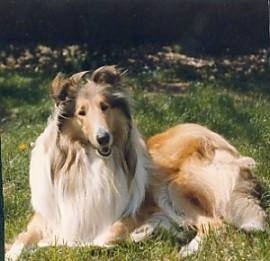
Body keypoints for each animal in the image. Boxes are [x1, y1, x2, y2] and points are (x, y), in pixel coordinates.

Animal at [5, 66, 152, 258]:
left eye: (104, 107)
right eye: (81, 112)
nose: (103, 138)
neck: (92, 160)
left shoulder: (130, 213)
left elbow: (109, 234)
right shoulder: (44, 218)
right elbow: (23, 238)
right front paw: (13, 253)